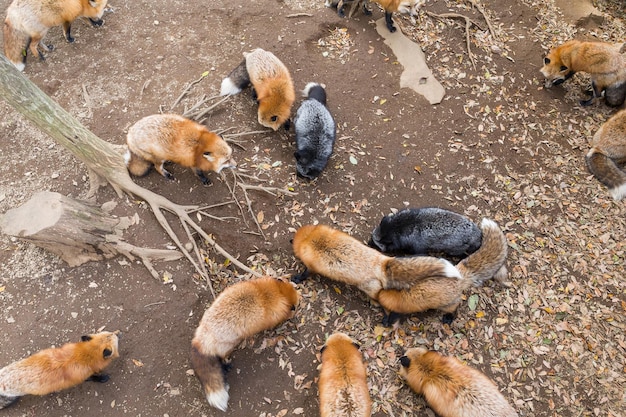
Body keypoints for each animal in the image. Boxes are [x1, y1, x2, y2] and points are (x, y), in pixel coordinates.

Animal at [189, 276, 298, 410]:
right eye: (295, 306)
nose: (299, 304)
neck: (270, 295)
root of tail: (200, 342)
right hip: (228, 347)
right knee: (222, 358)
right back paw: (226, 365)